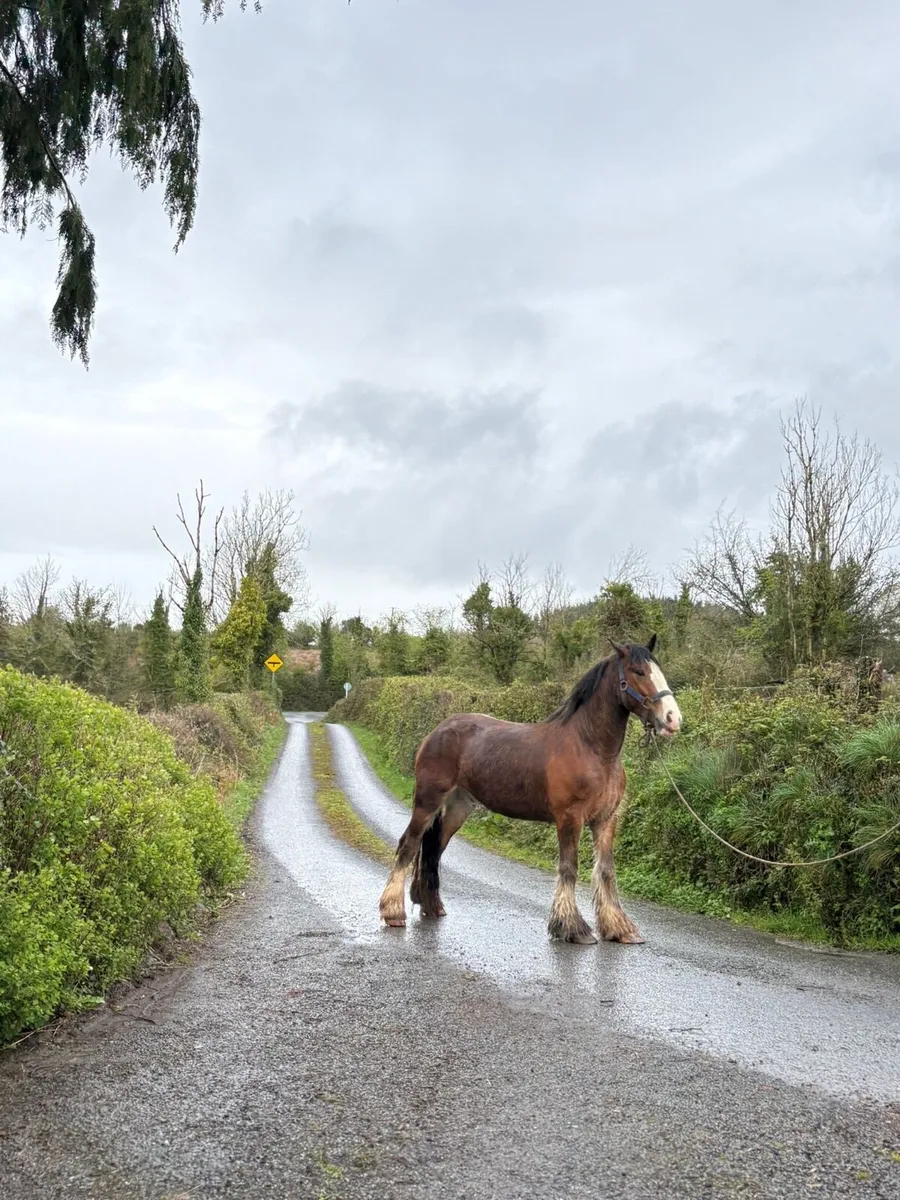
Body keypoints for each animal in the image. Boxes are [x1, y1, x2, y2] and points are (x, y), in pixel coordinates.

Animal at [378, 636, 682, 944]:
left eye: (658, 669)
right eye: (638, 672)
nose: (672, 719)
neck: (590, 748)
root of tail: (437, 731)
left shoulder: (606, 820)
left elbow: (606, 871)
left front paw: (618, 928)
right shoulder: (569, 819)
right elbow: (569, 868)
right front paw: (571, 927)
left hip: (458, 807)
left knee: (434, 849)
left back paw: (432, 906)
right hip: (427, 801)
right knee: (409, 844)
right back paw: (393, 912)